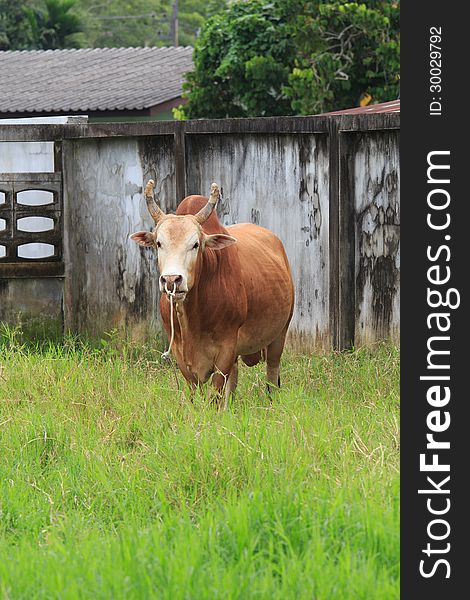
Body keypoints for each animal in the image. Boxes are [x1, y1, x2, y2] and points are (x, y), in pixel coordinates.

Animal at [130, 180, 294, 406]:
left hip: (280, 334)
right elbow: (196, 393)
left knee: (271, 375)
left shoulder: (226, 348)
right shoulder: (181, 354)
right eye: (158, 243)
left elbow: (215, 395)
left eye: (195, 244)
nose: (172, 280)